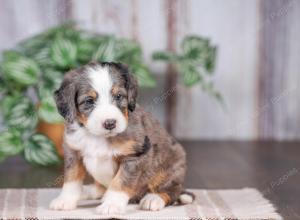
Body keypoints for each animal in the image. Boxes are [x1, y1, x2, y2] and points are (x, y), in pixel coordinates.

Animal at [49, 61, 193, 214]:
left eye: (118, 96)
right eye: (89, 101)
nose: (110, 123)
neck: (96, 136)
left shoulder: (134, 155)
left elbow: (121, 181)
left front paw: (111, 204)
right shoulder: (73, 152)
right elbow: (71, 180)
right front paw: (65, 200)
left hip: (172, 165)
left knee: (172, 191)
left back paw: (153, 199)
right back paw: (88, 191)